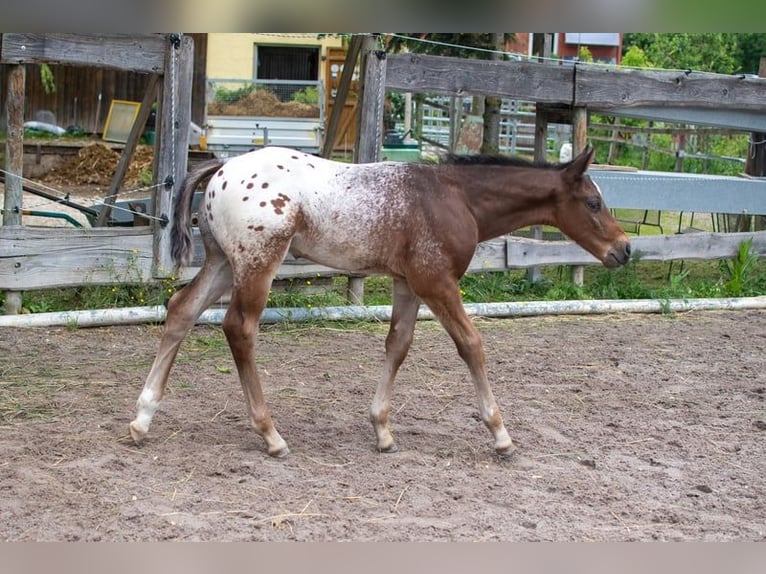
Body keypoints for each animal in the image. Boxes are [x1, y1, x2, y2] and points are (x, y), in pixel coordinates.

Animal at [129, 145, 631, 459]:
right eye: (592, 203)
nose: (625, 250)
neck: (456, 197)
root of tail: (222, 167)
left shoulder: (408, 283)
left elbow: (398, 345)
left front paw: (383, 432)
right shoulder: (436, 282)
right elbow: (471, 344)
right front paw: (501, 435)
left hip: (221, 261)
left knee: (181, 309)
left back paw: (142, 419)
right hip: (257, 262)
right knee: (239, 329)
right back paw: (271, 436)